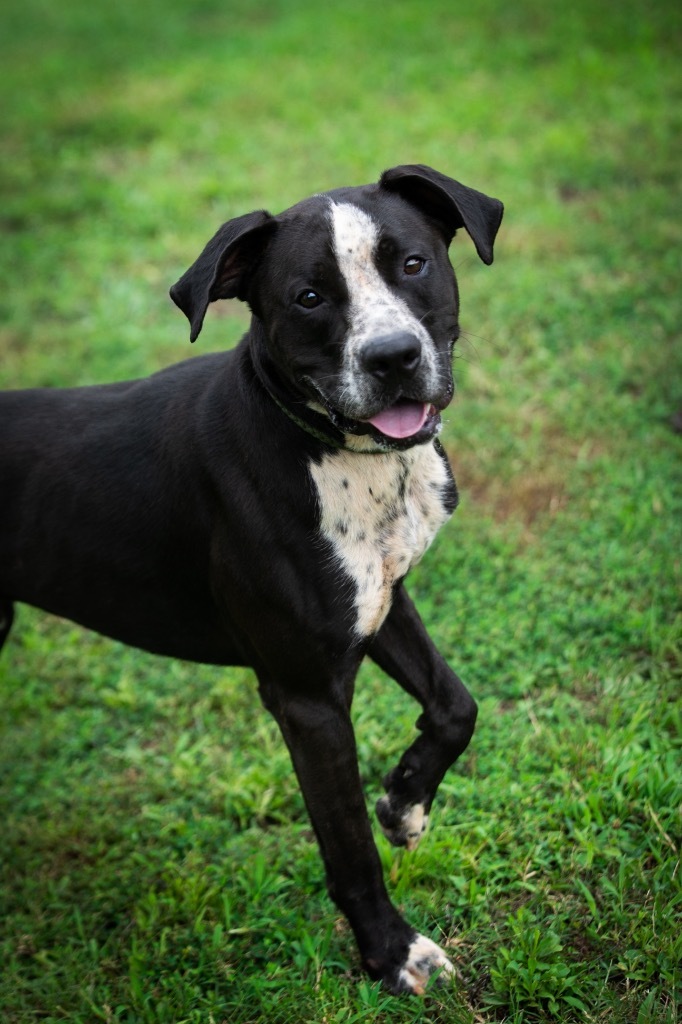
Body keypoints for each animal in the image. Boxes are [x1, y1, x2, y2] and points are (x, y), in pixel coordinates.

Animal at [0, 165, 499, 991]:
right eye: (309, 297)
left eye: (412, 263)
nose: (393, 357)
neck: (336, 452)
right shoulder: (307, 698)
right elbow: (349, 848)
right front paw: (391, 952)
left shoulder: (377, 601)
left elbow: (457, 705)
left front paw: (405, 802)